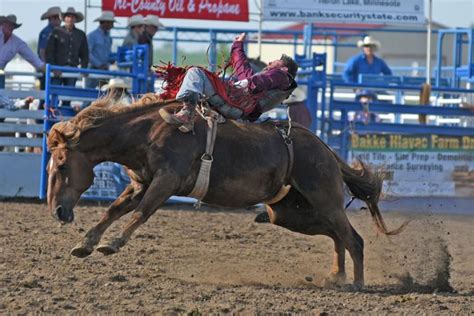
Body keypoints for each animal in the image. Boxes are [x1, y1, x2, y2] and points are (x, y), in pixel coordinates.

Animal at [46, 95, 406, 288]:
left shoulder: (166, 181)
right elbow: (114, 209)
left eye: (62, 165)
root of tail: (326, 149)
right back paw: (336, 276)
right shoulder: (141, 183)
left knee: (353, 239)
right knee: (336, 236)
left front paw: (112, 244)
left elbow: (141, 212)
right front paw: (85, 244)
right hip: (290, 214)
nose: (58, 212)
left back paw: (356, 282)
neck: (149, 131)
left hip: (324, 199)